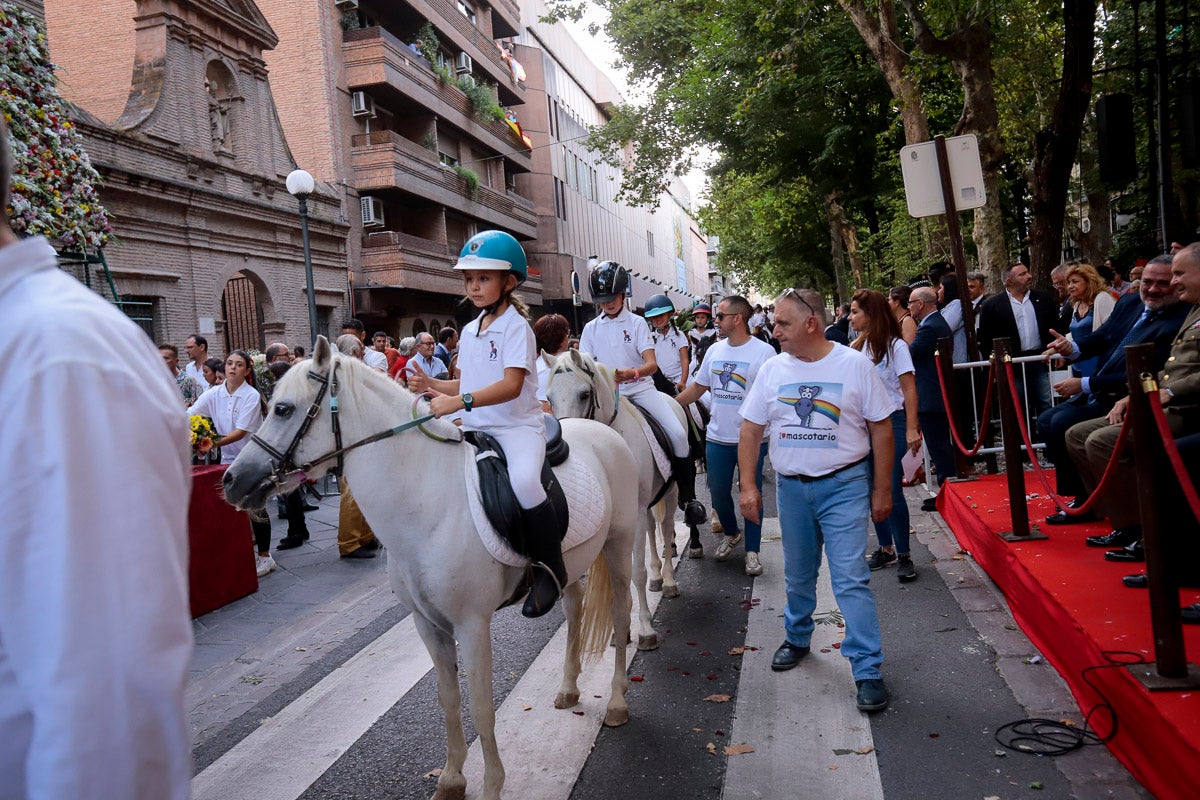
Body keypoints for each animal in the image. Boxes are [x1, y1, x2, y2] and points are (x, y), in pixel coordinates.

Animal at [224, 338, 638, 800]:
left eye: (282, 409)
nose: (231, 481)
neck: (427, 501)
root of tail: (602, 432)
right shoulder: (427, 623)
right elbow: (448, 699)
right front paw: (452, 779)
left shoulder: (472, 625)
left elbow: (482, 708)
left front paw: (491, 786)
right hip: (569, 564)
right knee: (574, 607)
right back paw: (568, 688)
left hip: (619, 546)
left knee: (622, 616)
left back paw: (617, 702)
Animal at [544, 350, 696, 652]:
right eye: (549, 398)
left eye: (583, 394)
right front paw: (620, 631)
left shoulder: (631, 516)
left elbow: (635, 572)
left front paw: (645, 629)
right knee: (651, 528)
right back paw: (657, 578)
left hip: (671, 491)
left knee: (665, 529)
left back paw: (669, 581)